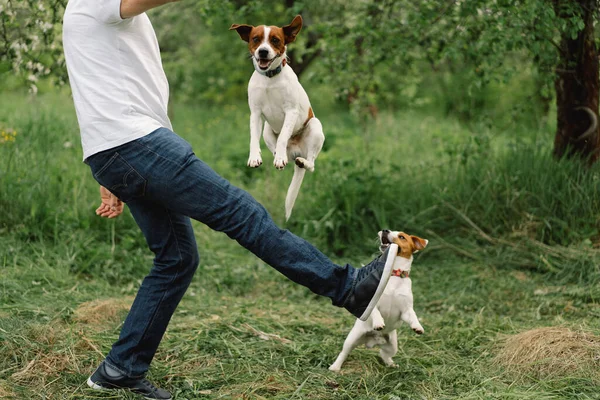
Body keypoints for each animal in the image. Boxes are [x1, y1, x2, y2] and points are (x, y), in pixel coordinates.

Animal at [230, 15, 326, 220]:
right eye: (255, 39)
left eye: (275, 40)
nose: (263, 51)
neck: (269, 79)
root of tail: (297, 153)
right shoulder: (255, 114)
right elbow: (253, 139)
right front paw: (254, 157)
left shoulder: (291, 112)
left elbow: (283, 137)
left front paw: (279, 155)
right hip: (267, 130)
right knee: (279, 151)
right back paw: (279, 156)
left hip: (314, 126)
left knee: (311, 164)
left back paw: (298, 160)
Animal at [328, 231, 426, 372]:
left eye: (402, 237)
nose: (385, 230)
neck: (393, 274)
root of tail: (373, 341)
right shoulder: (372, 301)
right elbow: (375, 312)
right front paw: (379, 322)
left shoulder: (406, 310)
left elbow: (413, 316)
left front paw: (417, 327)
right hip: (352, 339)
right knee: (344, 352)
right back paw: (335, 367)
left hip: (392, 346)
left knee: (384, 354)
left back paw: (391, 364)